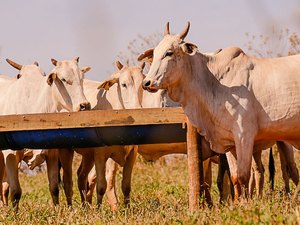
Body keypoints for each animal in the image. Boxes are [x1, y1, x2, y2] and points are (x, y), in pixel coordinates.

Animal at [0, 57, 90, 210]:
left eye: (81, 78)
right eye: (64, 79)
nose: (84, 105)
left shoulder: (51, 154)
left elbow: (54, 187)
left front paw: (57, 211)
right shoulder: (10, 154)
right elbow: (16, 191)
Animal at [141, 22, 300, 201]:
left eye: (169, 52)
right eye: (154, 53)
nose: (146, 83)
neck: (215, 81)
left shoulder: (244, 136)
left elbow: (243, 176)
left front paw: (245, 204)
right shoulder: (229, 142)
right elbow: (235, 178)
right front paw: (238, 203)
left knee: (292, 171)